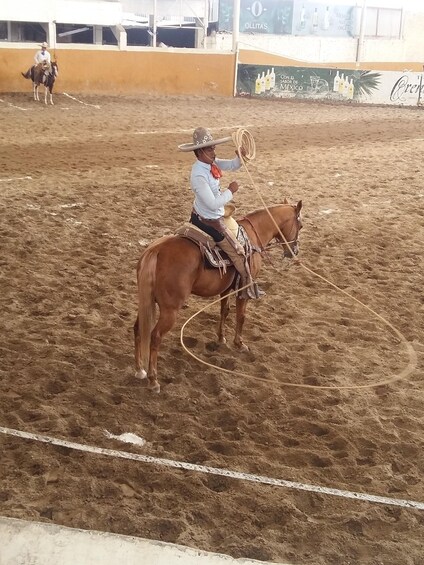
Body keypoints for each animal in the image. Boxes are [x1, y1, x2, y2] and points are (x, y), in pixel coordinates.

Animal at [134, 202, 304, 392]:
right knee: (155, 336)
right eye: (300, 226)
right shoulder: (243, 289)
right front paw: (239, 344)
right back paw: (153, 380)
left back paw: (139, 370)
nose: (294, 251)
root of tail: (156, 250)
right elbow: (241, 316)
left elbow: (225, 311)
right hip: (170, 310)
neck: (254, 235)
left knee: (138, 329)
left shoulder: (225, 289)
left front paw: (221, 338)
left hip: (147, 302)